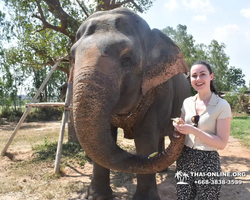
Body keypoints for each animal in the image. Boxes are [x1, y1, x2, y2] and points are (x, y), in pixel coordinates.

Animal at [70, 7, 189, 199]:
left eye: (127, 59)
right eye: (72, 57)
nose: (178, 130)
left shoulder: (161, 91)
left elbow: (145, 138)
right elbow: (108, 135)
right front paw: (97, 196)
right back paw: (161, 170)